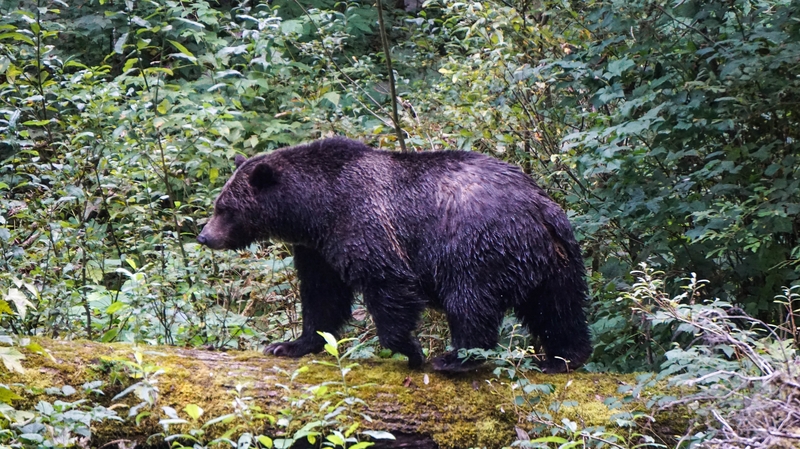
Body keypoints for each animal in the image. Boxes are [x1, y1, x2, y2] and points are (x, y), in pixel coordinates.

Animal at [196, 137, 591, 373]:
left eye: (225, 208)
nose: (204, 236)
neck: (315, 209)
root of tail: (539, 206)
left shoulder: (364, 224)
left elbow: (387, 283)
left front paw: (411, 350)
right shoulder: (317, 250)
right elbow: (322, 298)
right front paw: (289, 344)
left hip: (476, 246)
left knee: (471, 301)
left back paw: (454, 358)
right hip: (556, 259)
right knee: (560, 309)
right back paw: (563, 358)